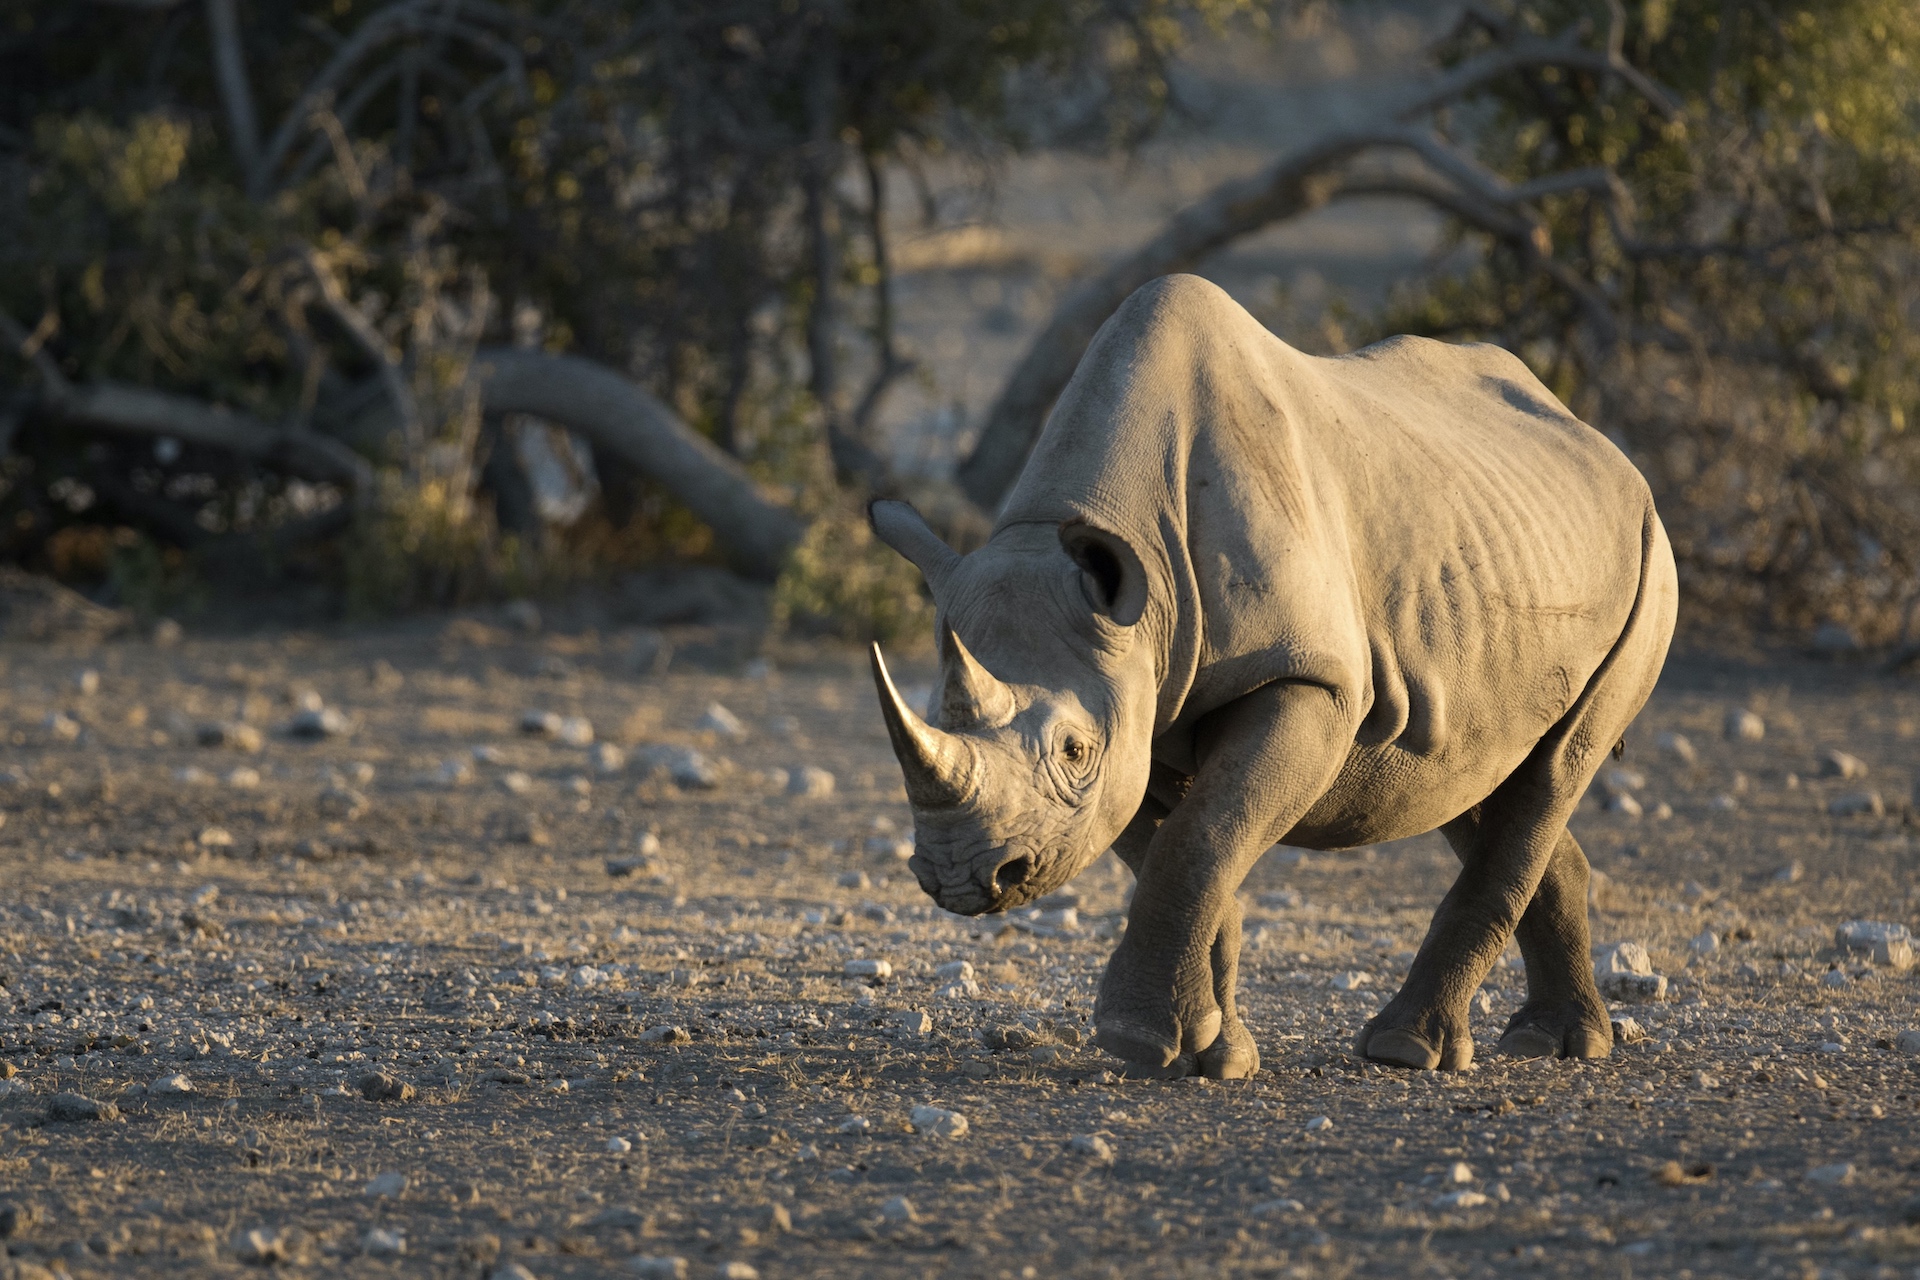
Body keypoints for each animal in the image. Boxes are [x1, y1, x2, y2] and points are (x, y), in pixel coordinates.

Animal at [868, 274, 1676, 1078]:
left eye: (1074, 750)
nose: (960, 878)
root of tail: (1603, 445)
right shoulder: (1138, 700)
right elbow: (1182, 851)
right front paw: (1212, 1052)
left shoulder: (1304, 680)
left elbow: (1198, 839)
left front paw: (1137, 1040)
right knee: (1474, 772)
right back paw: (1550, 1040)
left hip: (1650, 556)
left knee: (1553, 770)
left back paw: (1411, 1049)